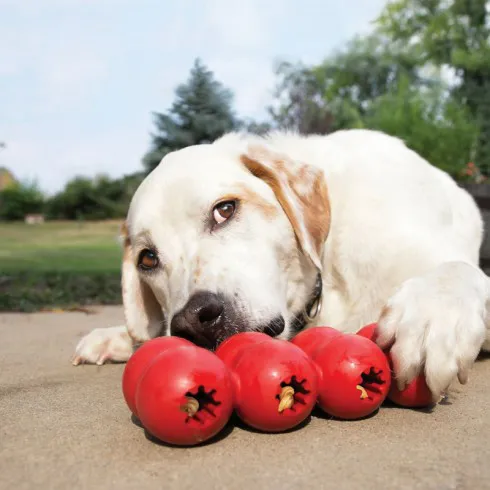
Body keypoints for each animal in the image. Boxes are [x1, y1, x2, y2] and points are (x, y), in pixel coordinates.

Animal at [72, 128, 490, 400]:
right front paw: (121, 337)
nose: (191, 321)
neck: (326, 274)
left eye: (225, 209)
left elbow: (457, 272)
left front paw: (433, 317)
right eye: (148, 258)